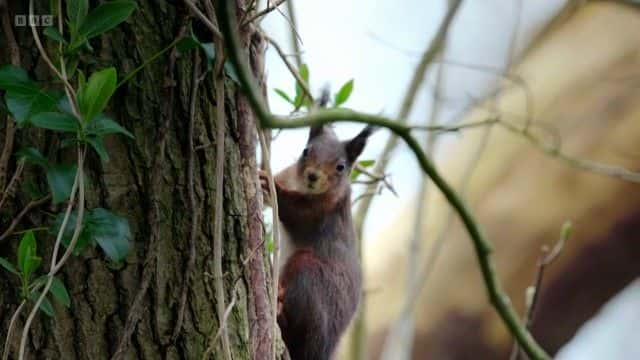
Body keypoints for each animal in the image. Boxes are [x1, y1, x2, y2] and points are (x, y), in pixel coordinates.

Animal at [262, 122, 376, 358]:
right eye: (306, 151)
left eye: (341, 166)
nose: (313, 176)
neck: (301, 186)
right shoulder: (287, 174)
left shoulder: (321, 210)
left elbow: (291, 209)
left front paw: (267, 184)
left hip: (310, 276)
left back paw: (280, 309)